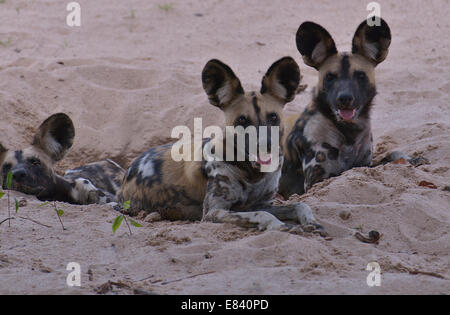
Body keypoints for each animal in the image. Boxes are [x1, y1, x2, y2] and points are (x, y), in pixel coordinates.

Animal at [118, 57, 326, 235]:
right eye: (242, 120)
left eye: (273, 117)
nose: (265, 144)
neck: (253, 175)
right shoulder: (215, 212)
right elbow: (263, 215)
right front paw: (280, 226)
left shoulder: (263, 203)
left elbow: (300, 205)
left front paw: (311, 222)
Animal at [280, 19, 424, 198]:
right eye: (330, 77)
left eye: (360, 75)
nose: (344, 98)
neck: (349, 132)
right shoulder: (317, 179)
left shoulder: (364, 163)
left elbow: (391, 155)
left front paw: (410, 159)